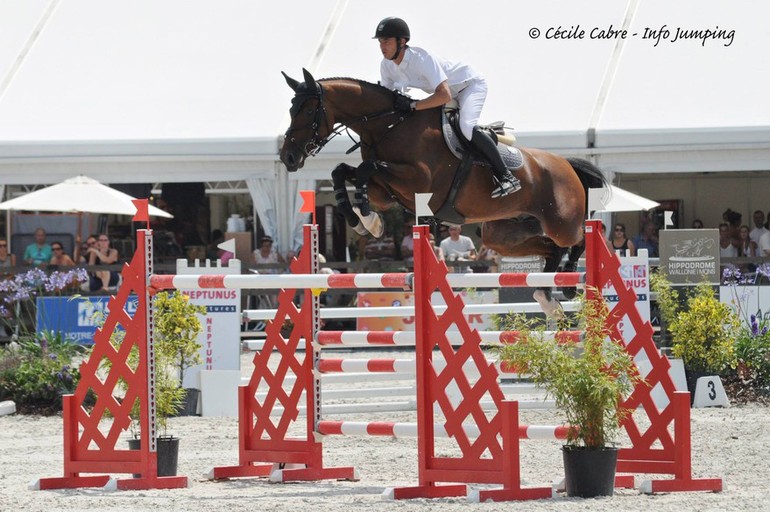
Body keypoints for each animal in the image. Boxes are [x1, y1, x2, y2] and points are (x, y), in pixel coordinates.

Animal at [276, 69, 608, 314]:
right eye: (291, 108)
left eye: (308, 109)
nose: (288, 157)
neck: (388, 125)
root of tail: (566, 163)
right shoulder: (387, 191)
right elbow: (344, 171)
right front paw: (364, 220)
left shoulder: (418, 181)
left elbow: (366, 168)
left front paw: (367, 217)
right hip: (503, 235)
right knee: (551, 248)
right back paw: (547, 295)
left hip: (560, 222)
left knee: (578, 238)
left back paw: (568, 284)